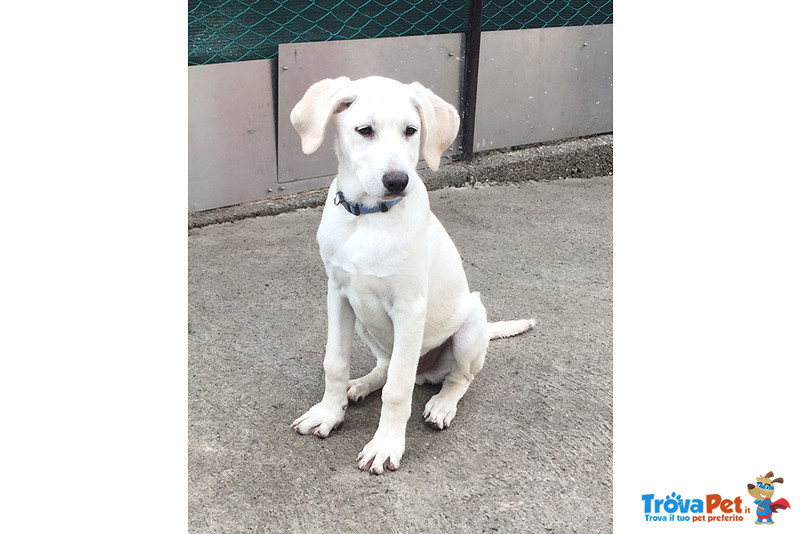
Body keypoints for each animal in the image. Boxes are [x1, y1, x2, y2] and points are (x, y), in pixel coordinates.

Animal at [290, 77, 536, 476]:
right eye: (364, 130)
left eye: (411, 130)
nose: (397, 181)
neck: (368, 217)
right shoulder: (338, 294)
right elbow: (335, 363)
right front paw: (328, 413)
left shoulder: (409, 309)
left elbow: (398, 390)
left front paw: (385, 445)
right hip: (365, 322)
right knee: (386, 365)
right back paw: (361, 385)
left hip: (470, 327)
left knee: (457, 378)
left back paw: (442, 404)